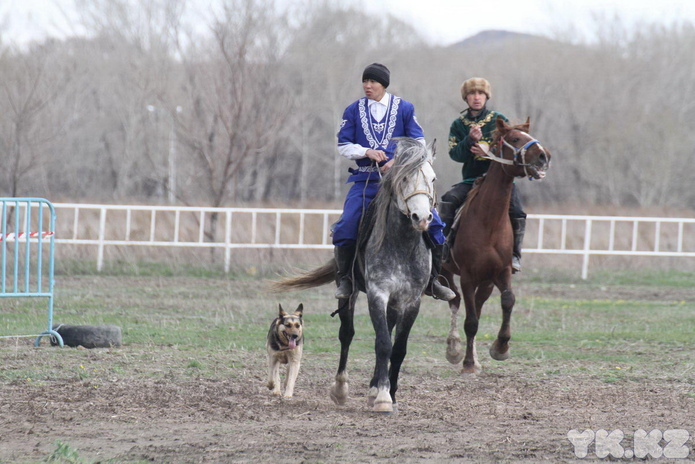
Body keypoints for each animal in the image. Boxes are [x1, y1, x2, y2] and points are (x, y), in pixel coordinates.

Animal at [444, 118, 552, 376]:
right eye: (514, 139)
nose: (544, 155)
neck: (488, 221)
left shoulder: (500, 272)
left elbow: (508, 301)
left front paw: (500, 347)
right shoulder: (467, 276)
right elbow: (470, 321)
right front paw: (468, 364)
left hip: (485, 282)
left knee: (474, 305)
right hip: (445, 272)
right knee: (455, 300)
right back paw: (454, 349)